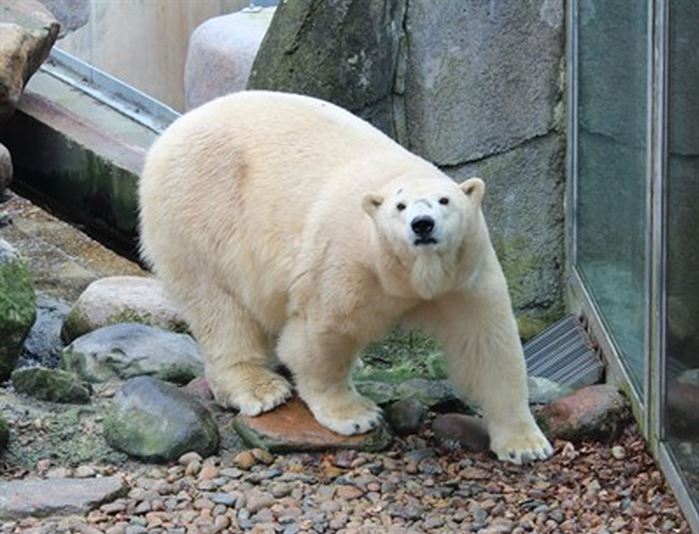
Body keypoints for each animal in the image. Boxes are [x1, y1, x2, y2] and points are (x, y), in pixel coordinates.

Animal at [139, 91, 556, 464]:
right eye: (400, 206)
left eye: (445, 201)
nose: (422, 224)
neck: (413, 273)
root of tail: (169, 133)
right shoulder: (348, 261)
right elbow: (322, 335)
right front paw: (356, 415)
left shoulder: (465, 275)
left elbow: (487, 346)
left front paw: (526, 445)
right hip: (202, 212)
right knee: (219, 306)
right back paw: (261, 389)